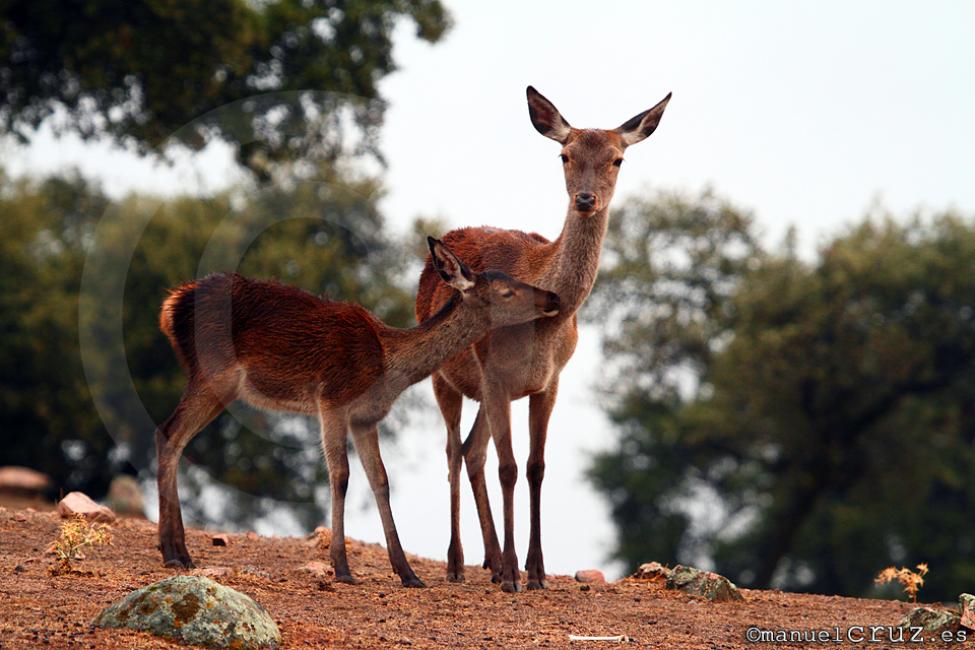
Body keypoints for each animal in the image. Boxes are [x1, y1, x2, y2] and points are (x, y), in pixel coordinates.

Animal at [155, 235, 560, 584]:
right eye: (507, 291)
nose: (553, 297)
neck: (389, 366)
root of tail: (170, 307)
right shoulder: (332, 399)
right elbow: (341, 475)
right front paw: (342, 567)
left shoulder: (366, 418)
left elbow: (380, 480)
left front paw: (407, 573)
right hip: (214, 374)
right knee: (169, 433)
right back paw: (174, 551)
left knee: (172, 437)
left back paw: (177, 551)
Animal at [412, 87, 672, 592]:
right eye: (564, 154)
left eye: (618, 159)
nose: (586, 198)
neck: (546, 324)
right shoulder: (495, 376)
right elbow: (509, 468)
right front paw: (516, 573)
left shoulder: (548, 383)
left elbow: (535, 468)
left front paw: (534, 571)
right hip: (443, 378)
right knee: (454, 451)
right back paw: (457, 563)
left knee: (473, 451)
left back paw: (492, 562)